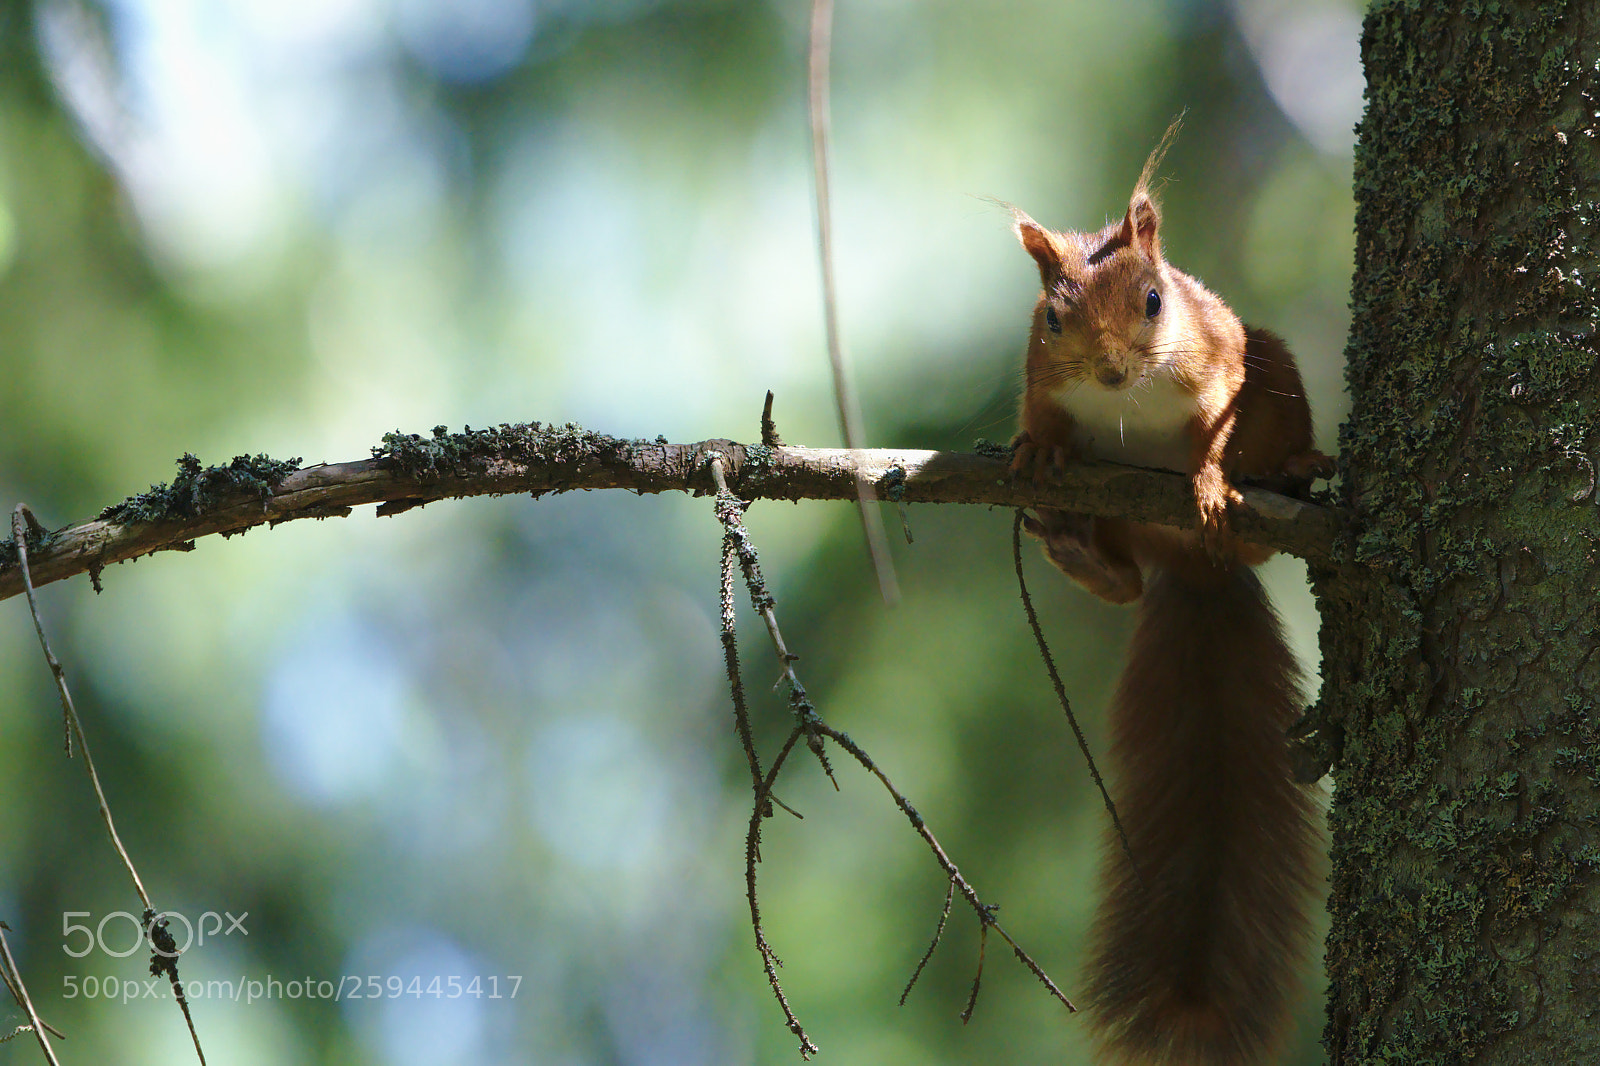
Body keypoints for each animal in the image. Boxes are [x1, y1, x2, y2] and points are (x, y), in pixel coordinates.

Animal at [1010, 123, 1332, 1066]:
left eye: (1155, 301)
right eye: (1052, 318)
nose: (1112, 371)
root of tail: (1196, 573)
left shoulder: (1221, 366)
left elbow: (1215, 435)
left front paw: (1212, 481)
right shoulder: (1038, 379)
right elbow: (1038, 419)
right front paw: (1033, 452)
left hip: (1272, 361)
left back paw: (1286, 474)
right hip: (1125, 529)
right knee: (1124, 585)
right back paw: (1084, 555)